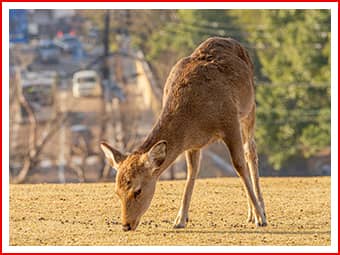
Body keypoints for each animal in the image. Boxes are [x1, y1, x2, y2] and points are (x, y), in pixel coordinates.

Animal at [99, 37, 266, 231]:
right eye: (117, 192)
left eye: (137, 190)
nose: (126, 225)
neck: (194, 117)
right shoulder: (193, 144)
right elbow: (191, 172)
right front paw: (180, 220)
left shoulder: (229, 120)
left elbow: (238, 164)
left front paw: (261, 217)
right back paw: (251, 214)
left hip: (249, 109)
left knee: (250, 151)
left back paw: (259, 212)